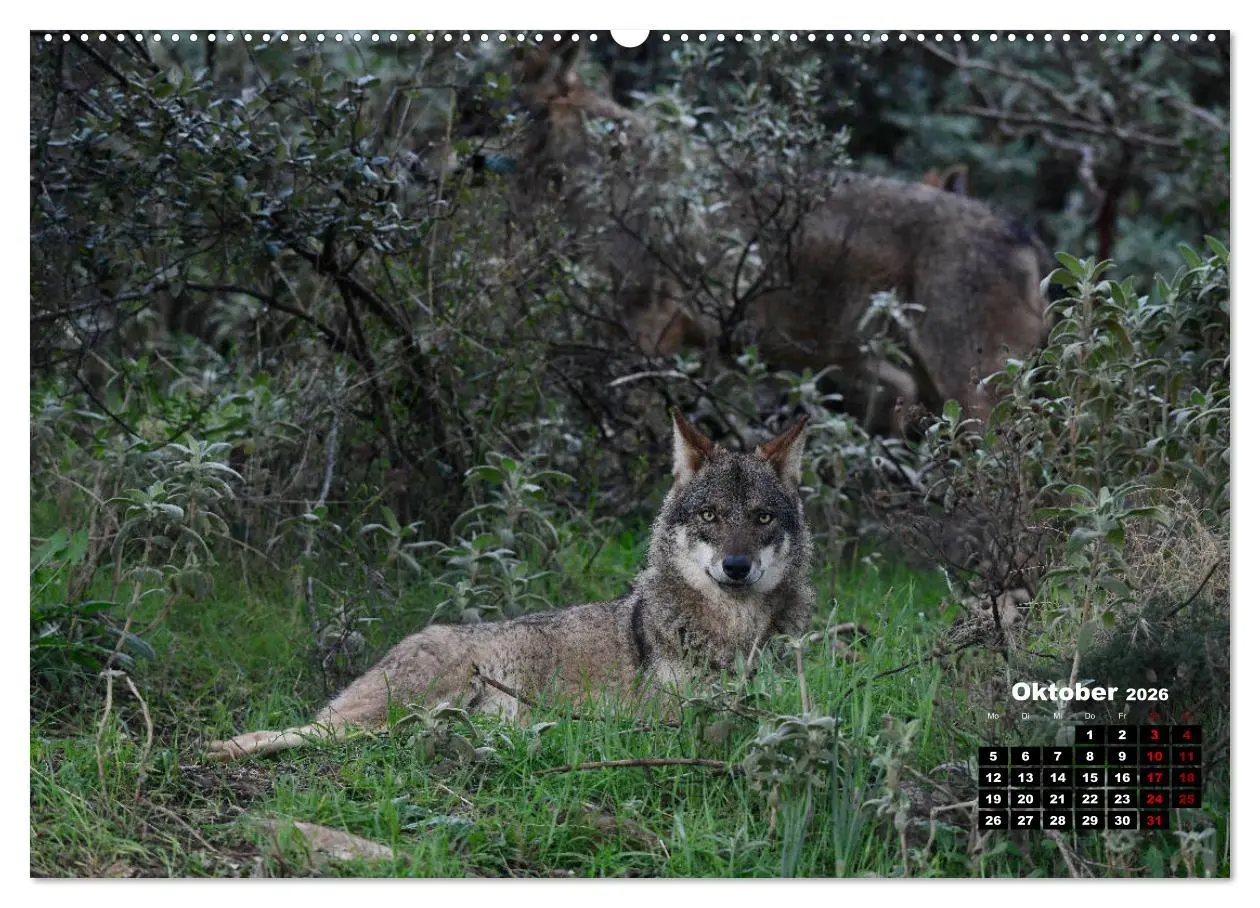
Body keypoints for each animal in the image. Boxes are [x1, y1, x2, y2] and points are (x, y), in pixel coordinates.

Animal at [206, 411, 815, 761]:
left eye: (761, 518)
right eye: (711, 515)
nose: (736, 566)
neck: (733, 634)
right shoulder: (663, 711)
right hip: (403, 707)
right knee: (296, 732)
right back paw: (214, 750)